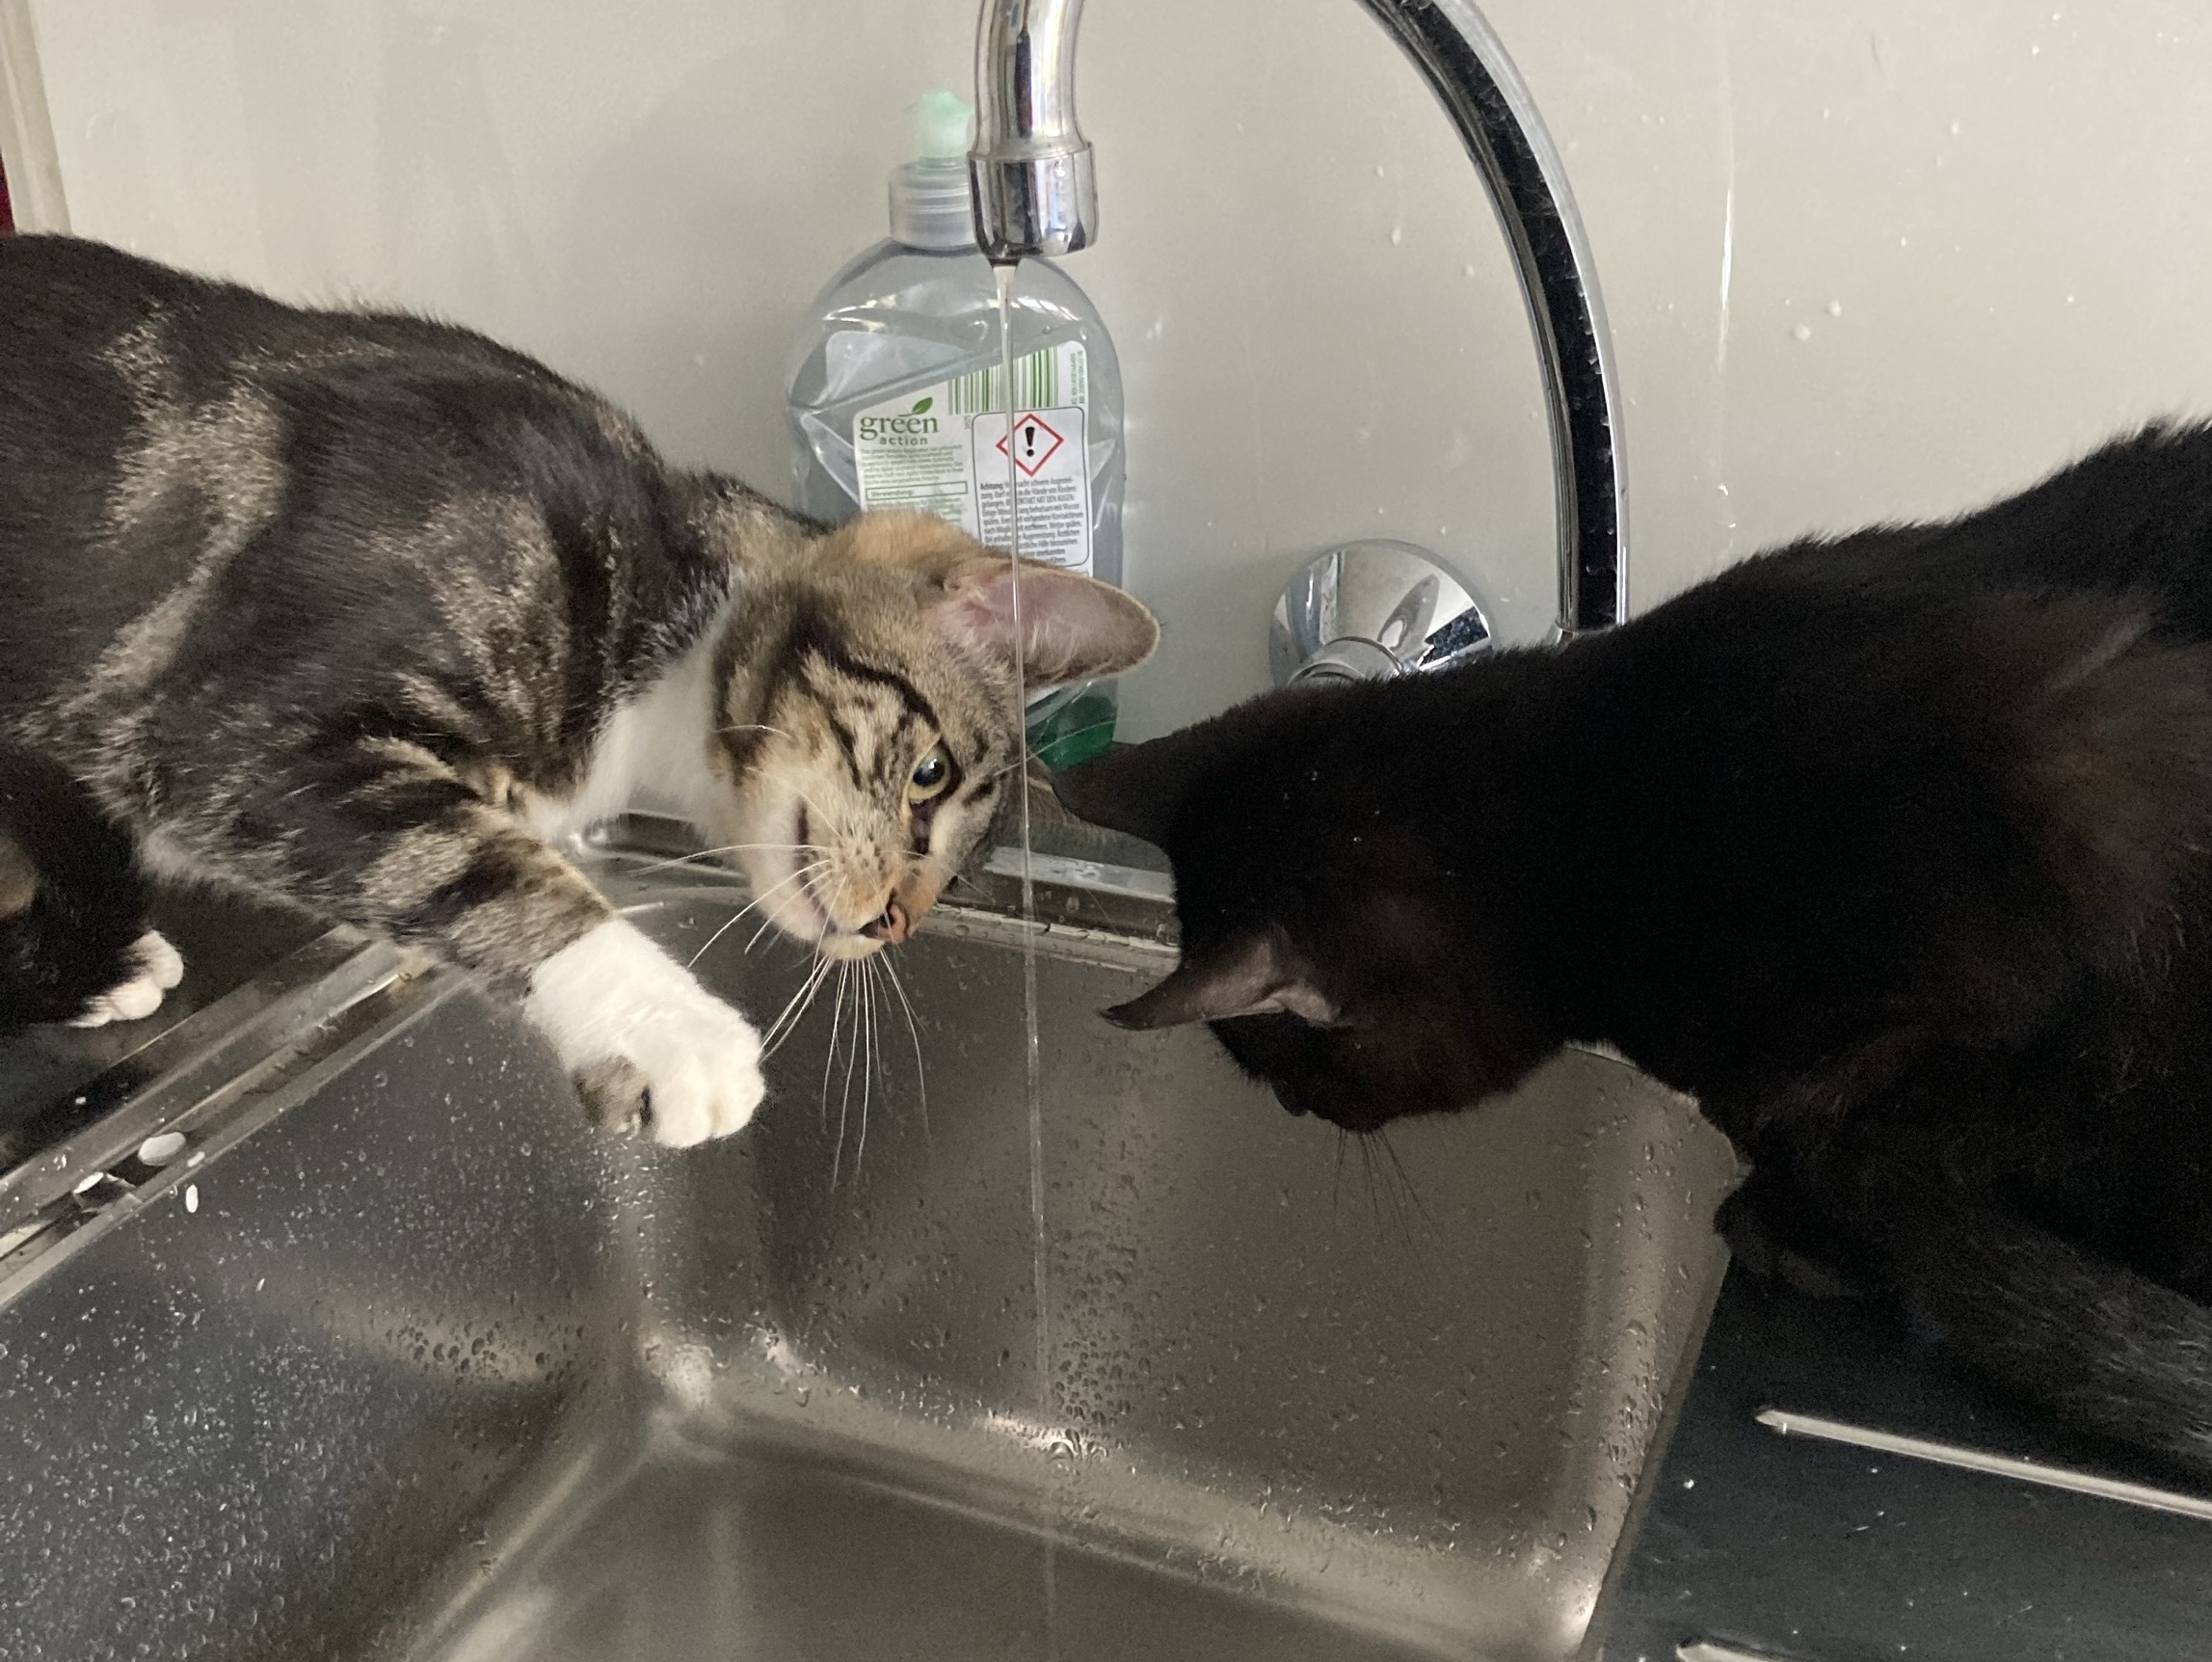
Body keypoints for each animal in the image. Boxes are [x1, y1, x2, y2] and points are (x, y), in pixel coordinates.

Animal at [0, 233, 1156, 1143]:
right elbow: (464, 864)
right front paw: (661, 1024)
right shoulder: (238, 732)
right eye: (929, 773)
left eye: (959, 883)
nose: (894, 928)